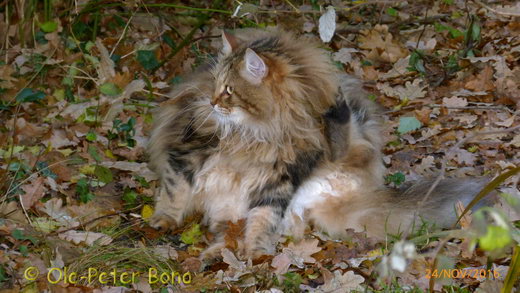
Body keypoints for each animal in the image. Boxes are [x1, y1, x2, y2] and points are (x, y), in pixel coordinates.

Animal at [147, 28, 488, 258]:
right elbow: (175, 191)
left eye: (229, 90)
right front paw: (163, 221)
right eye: (216, 85)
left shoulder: (281, 177)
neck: (261, 133)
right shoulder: (188, 149)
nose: (212, 102)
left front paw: (256, 250)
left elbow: (262, 219)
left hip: (347, 151)